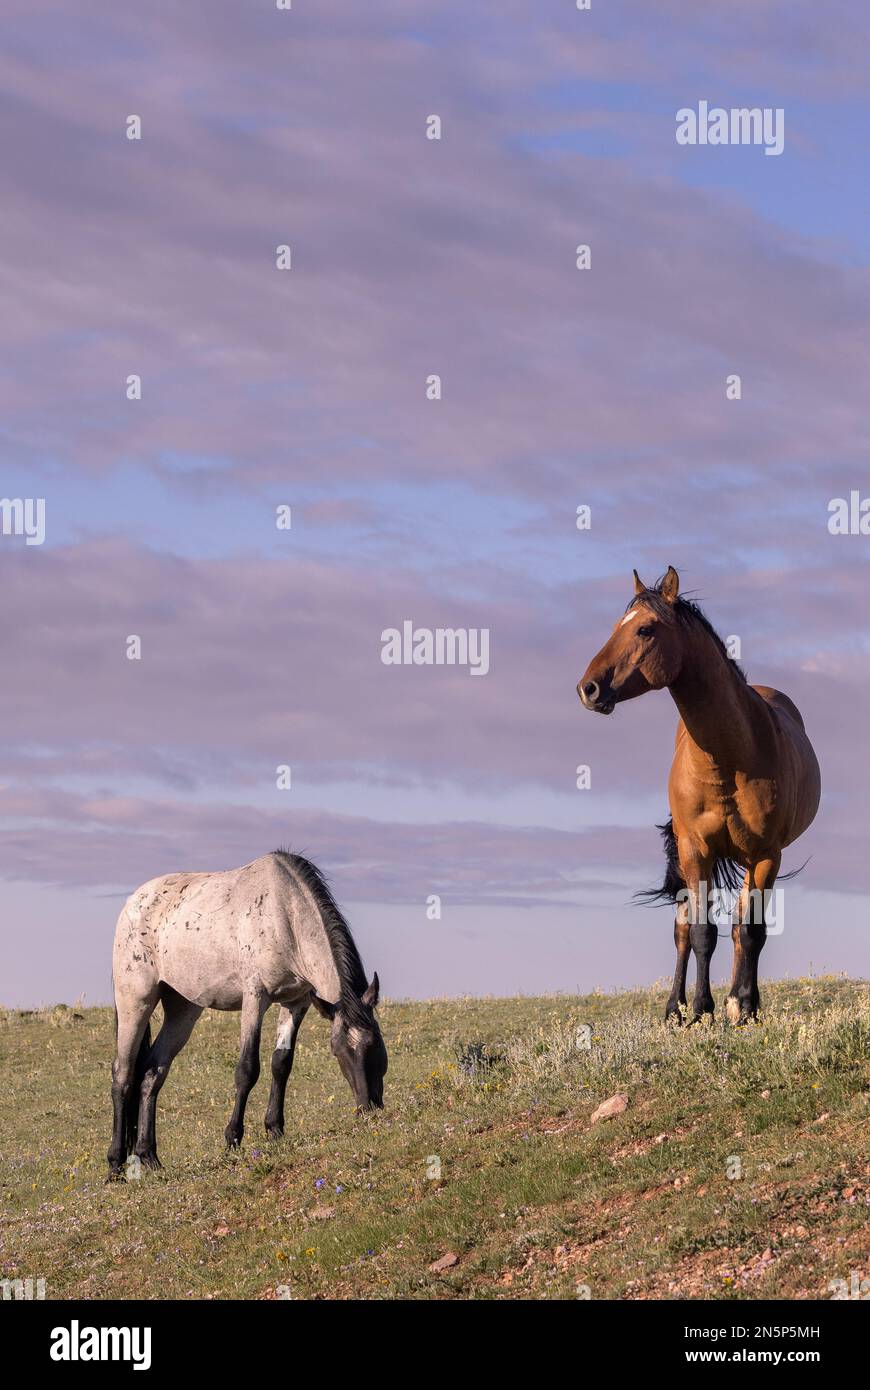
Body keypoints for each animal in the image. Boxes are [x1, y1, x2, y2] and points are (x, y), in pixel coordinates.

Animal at [107, 850, 383, 1178]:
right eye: (339, 1051)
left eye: (375, 1045)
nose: (368, 1109)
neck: (284, 912)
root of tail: (133, 903)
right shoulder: (255, 998)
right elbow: (247, 1069)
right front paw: (233, 1138)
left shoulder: (296, 1002)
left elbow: (281, 1064)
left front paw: (275, 1130)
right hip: (135, 1001)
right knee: (123, 1075)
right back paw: (115, 1165)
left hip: (183, 1010)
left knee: (152, 1073)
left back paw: (149, 1156)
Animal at [578, 569, 817, 1028]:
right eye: (617, 626)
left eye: (645, 629)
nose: (588, 689)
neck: (730, 757)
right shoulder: (694, 849)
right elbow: (701, 932)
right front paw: (700, 1010)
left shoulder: (765, 854)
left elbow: (751, 931)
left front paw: (743, 1006)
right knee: (683, 928)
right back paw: (675, 1008)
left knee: (742, 927)